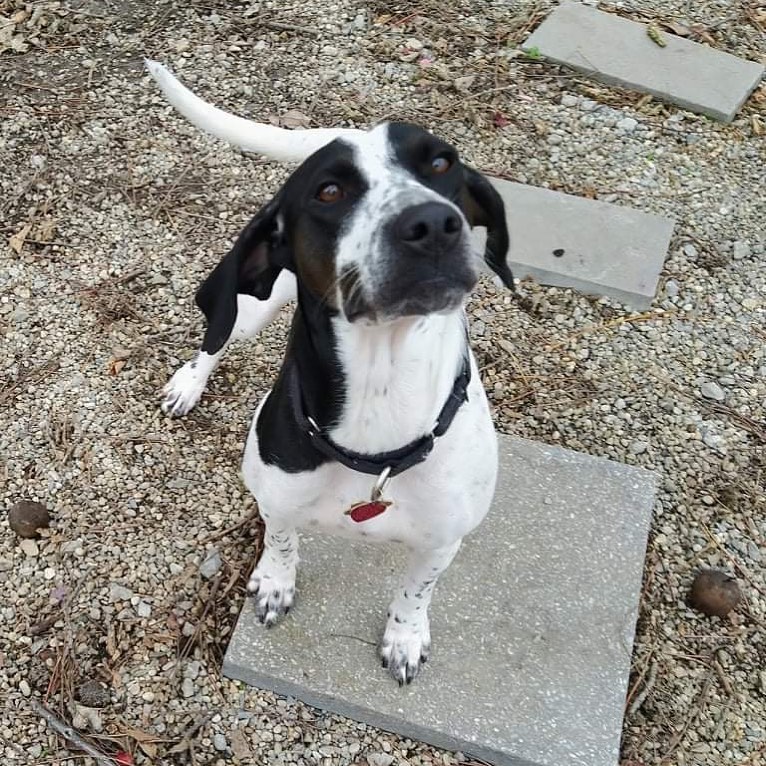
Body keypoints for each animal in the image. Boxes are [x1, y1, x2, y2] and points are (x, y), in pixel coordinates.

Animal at [147, 63, 512, 688]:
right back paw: (188, 385)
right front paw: (274, 583)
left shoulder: (444, 540)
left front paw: (404, 637)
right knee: (215, 340)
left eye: (442, 164)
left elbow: (416, 591)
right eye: (329, 191)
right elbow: (282, 542)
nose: (432, 223)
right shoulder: (274, 498)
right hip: (251, 309)